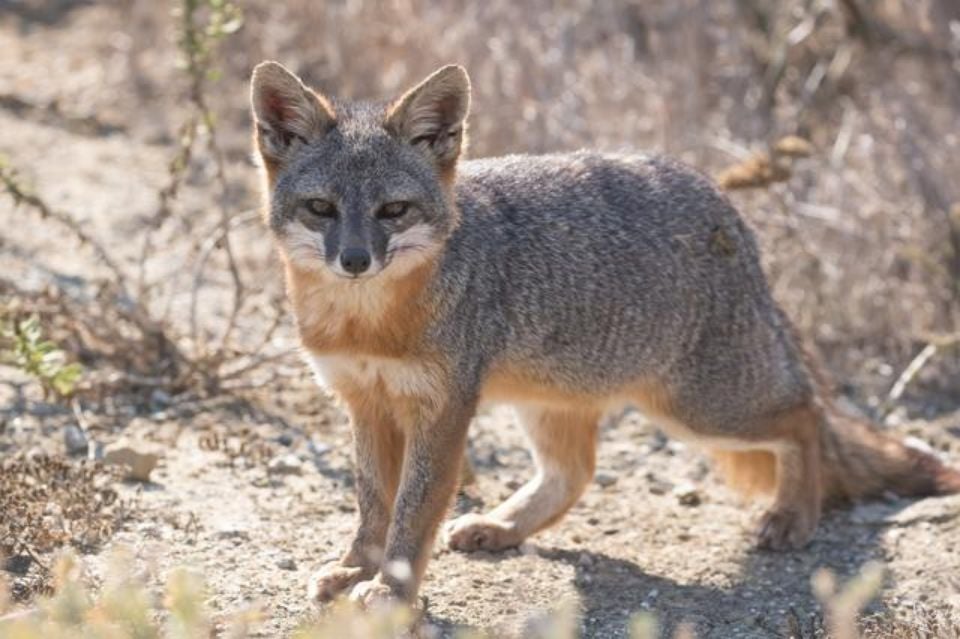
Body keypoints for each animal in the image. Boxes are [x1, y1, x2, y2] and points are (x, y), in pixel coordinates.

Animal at [249, 61, 960, 607]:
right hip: (555, 401)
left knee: (806, 414)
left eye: (393, 211)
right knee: (575, 474)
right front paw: (356, 568)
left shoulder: (441, 411)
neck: (368, 325)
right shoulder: (364, 403)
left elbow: (413, 511)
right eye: (322, 209)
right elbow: (373, 503)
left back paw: (793, 515)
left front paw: (391, 590)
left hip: (701, 408)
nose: (355, 260)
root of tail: (725, 206)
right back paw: (503, 526)